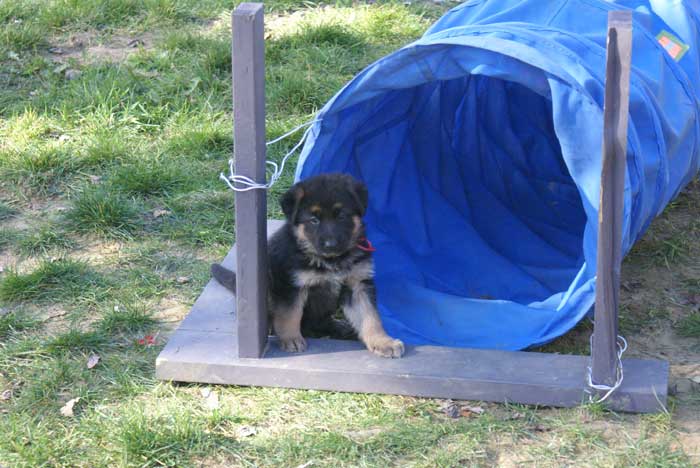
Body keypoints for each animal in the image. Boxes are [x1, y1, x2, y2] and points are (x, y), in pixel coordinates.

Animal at [209, 174, 404, 356]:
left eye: (341, 216)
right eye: (314, 220)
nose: (331, 244)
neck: (331, 261)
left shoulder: (357, 285)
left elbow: (370, 316)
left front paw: (383, 342)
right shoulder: (291, 285)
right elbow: (290, 315)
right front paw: (291, 339)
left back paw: (339, 328)